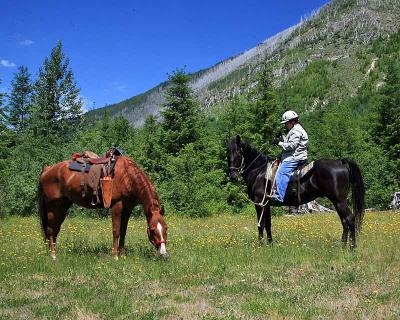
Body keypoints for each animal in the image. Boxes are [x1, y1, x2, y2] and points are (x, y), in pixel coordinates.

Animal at [36, 154, 168, 260]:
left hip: (62, 207)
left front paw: (123, 255)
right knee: (50, 230)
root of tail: (47, 170)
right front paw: (115, 256)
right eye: (152, 230)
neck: (128, 176)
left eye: (166, 228)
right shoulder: (117, 206)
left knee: (55, 230)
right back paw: (53, 255)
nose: (164, 254)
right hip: (53, 208)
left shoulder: (127, 209)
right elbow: (116, 231)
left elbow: (123, 231)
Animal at [227, 135, 364, 248]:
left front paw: (260, 246)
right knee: (344, 221)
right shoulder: (267, 204)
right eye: (228, 154)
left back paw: (352, 248)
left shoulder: (259, 203)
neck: (259, 172)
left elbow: (261, 225)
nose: (233, 176)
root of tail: (339, 162)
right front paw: (270, 245)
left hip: (340, 201)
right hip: (336, 201)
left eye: (238, 154)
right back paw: (343, 246)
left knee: (350, 219)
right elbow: (268, 224)